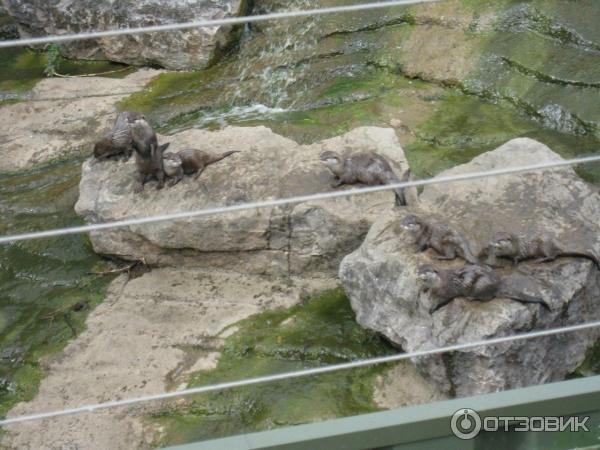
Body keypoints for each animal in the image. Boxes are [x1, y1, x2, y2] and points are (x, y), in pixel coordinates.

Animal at [418, 264, 548, 312]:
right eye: (420, 269)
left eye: (426, 271)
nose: (419, 274)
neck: (440, 281)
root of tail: (497, 284)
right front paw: (424, 288)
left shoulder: (447, 290)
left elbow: (441, 299)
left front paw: (432, 306)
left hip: (482, 284)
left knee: (487, 297)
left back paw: (472, 298)